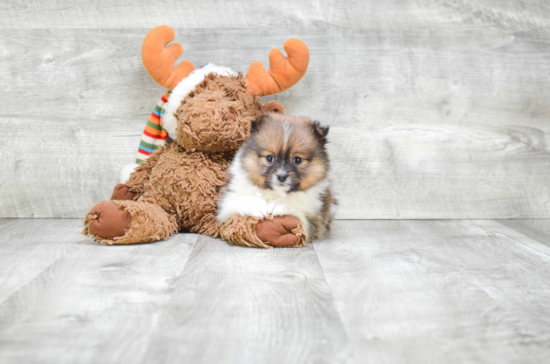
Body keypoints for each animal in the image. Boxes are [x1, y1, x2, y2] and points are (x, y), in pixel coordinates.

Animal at [218, 112, 334, 240]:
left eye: (297, 160)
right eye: (270, 158)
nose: (282, 176)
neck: (276, 192)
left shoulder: (315, 221)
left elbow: (301, 219)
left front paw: (281, 205)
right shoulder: (226, 207)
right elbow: (236, 202)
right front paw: (255, 205)